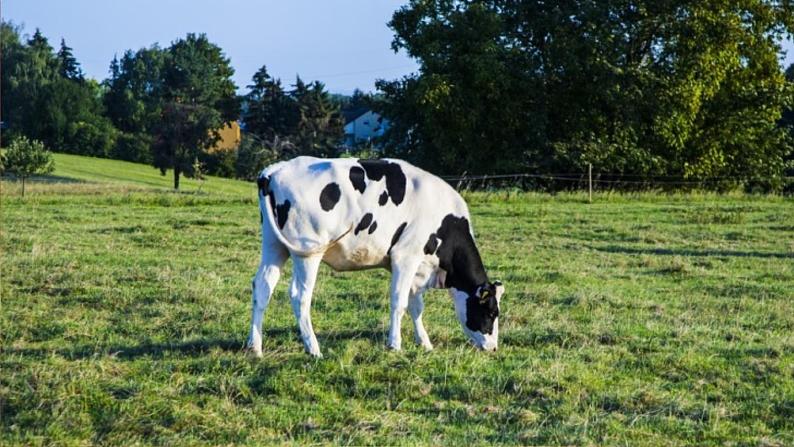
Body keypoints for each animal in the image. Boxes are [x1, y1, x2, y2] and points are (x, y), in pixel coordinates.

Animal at [248, 156, 504, 358]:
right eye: (492, 312)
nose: (493, 347)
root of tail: (274, 170)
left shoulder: (415, 266)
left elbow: (416, 305)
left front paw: (425, 343)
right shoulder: (405, 257)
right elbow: (399, 302)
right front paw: (395, 345)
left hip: (274, 245)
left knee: (262, 287)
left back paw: (255, 347)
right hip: (308, 252)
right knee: (300, 296)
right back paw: (313, 348)